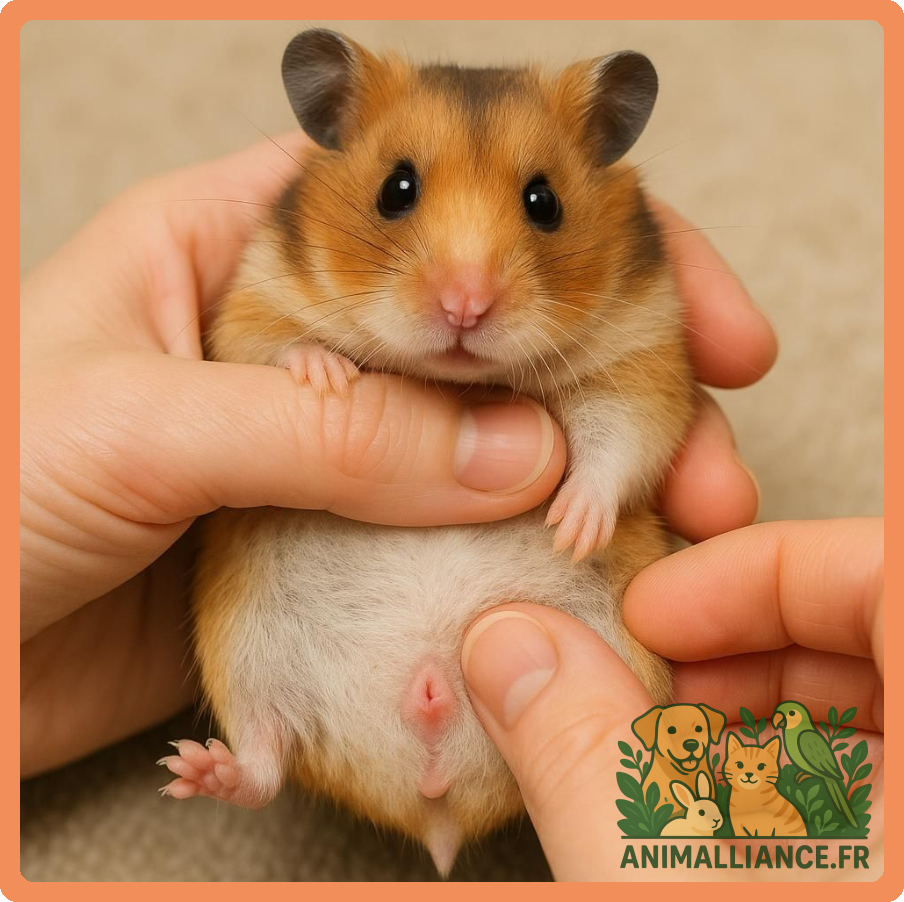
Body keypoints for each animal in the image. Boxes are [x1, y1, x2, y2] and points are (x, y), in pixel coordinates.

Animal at [158, 29, 695, 876]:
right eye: (396, 188)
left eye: (544, 202)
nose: (465, 305)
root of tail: (433, 800)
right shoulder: (252, 302)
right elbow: (273, 347)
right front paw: (328, 379)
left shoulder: (646, 352)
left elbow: (621, 439)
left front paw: (572, 526)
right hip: (242, 645)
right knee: (265, 758)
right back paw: (191, 771)